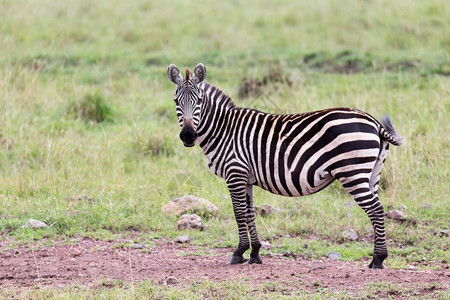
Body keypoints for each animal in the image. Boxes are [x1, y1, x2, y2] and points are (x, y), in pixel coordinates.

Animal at [168, 63, 404, 270]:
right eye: (176, 101)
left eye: (199, 100)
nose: (188, 135)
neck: (223, 129)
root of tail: (373, 121)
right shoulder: (246, 177)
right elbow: (249, 212)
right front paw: (255, 253)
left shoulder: (235, 172)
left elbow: (239, 212)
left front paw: (239, 252)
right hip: (372, 173)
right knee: (379, 209)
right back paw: (379, 257)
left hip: (352, 172)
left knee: (375, 210)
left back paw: (377, 259)